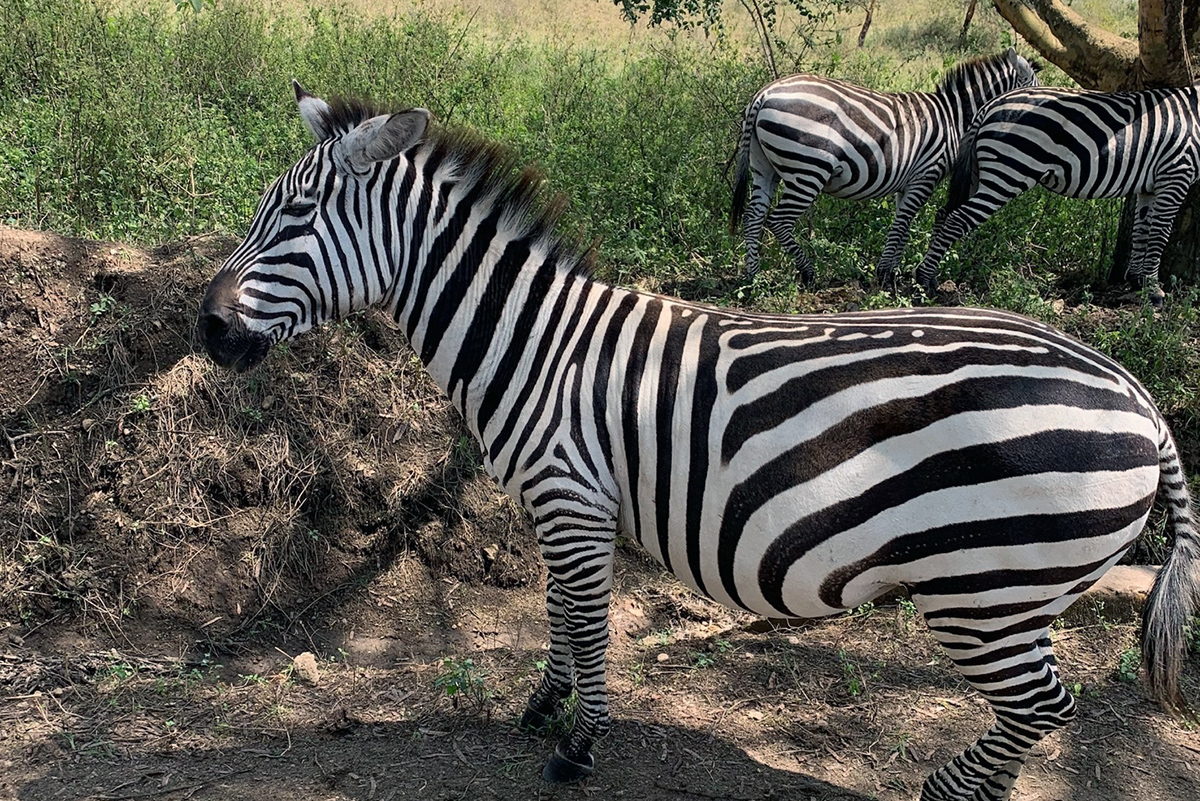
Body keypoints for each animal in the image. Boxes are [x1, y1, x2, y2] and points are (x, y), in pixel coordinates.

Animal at [730, 48, 1040, 288]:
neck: (953, 117)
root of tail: (764, 94)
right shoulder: (925, 176)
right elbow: (903, 224)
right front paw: (885, 276)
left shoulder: (908, 182)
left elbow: (903, 224)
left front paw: (891, 272)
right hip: (808, 170)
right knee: (778, 220)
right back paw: (807, 273)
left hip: (764, 167)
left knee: (754, 216)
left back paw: (753, 276)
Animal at [915, 85, 1200, 303]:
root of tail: (990, 106)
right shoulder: (1175, 173)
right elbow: (1159, 234)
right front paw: (1153, 290)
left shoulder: (1149, 187)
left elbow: (1141, 232)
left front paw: (1137, 282)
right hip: (1007, 173)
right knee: (956, 220)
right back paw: (924, 280)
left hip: (978, 173)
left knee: (943, 214)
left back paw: (927, 277)